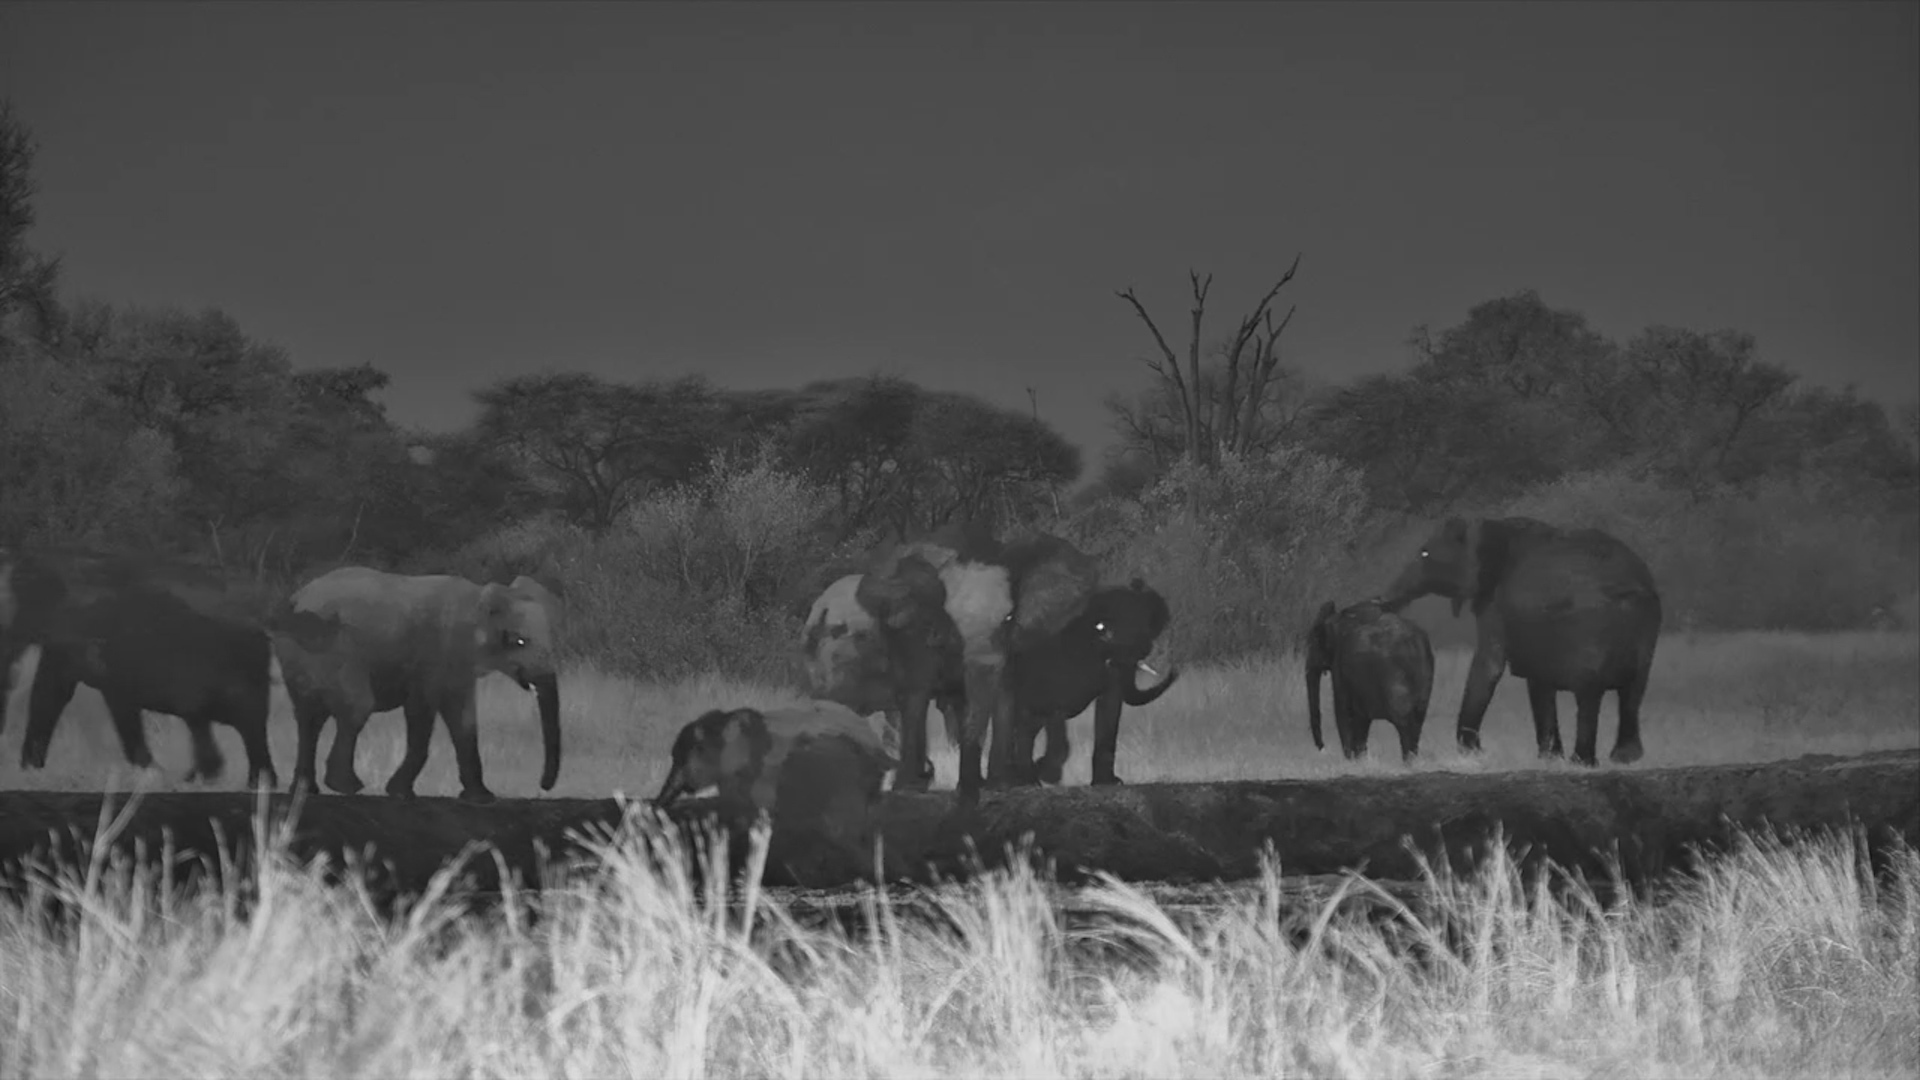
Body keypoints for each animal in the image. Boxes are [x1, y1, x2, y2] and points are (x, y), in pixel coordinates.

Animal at [1, 546, 279, 788]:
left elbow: (107, 698)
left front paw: (152, 774)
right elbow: (51, 692)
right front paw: (30, 773)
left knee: (238, 719)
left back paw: (248, 781)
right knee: (212, 719)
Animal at [270, 566, 563, 803]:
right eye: (519, 641)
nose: (543, 786)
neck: (478, 597)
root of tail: (296, 599)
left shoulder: (457, 666)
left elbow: (463, 719)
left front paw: (482, 797)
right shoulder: (438, 652)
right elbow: (422, 711)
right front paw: (400, 793)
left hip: (298, 653)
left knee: (309, 718)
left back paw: (305, 789)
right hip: (332, 649)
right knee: (355, 707)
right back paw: (347, 786)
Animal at [1304, 598, 1434, 762]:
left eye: (1315, 639)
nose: (1323, 749)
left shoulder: (1341, 666)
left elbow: (1344, 713)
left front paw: (1352, 761)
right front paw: (1359, 760)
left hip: (1393, 677)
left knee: (1402, 720)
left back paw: (1408, 761)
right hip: (1425, 675)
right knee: (1418, 720)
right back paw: (1412, 760)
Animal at [1376, 516, 1662, 766]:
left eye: (1424, 554)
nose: (1380, 602)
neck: (1488, 524)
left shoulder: (1497, 604)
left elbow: (1490, 666)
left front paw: (1476, 754)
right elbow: (1536, 680)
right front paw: (1549, 758)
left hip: (1590, 626)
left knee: (1589, 691)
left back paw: (1583, 762)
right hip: (1646, 629)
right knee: (1634, 689)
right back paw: (1624, 758)